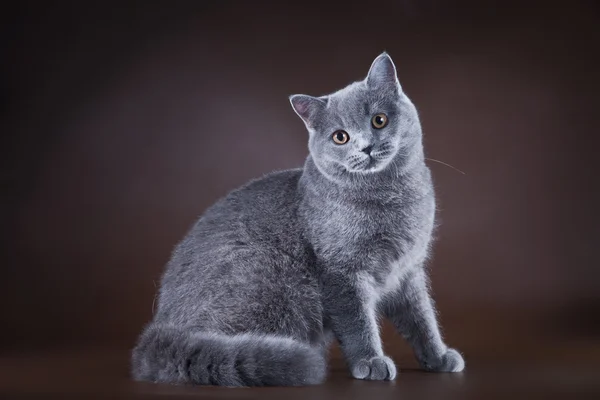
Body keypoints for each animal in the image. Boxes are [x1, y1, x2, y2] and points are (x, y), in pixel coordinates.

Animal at [131, 51, 466, 386]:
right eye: (340, 137)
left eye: (379, 120)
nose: (366, 147)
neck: (391, 197)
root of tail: (156, 333)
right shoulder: (341, 271)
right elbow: (357, 323)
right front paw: (370, 362)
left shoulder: (407, 269)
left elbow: (421, 318)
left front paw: (438, 356)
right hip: (270, 273)